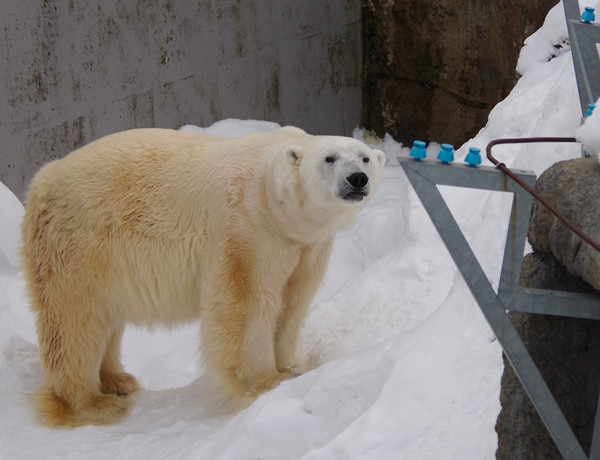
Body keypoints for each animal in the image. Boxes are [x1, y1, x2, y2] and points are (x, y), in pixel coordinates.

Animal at [19, 126, 384, 428]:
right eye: (329, 158)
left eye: (365, 157)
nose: (357, 179)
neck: (274, 199)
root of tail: (42, 180)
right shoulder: (248, 229)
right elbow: (248, 304)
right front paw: (266, 383)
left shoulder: (307, 246)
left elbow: (293, 301)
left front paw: (292, 368)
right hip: (78, 243)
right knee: (75, 322)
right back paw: (94, 404)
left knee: (104, 318)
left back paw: (118, 381)